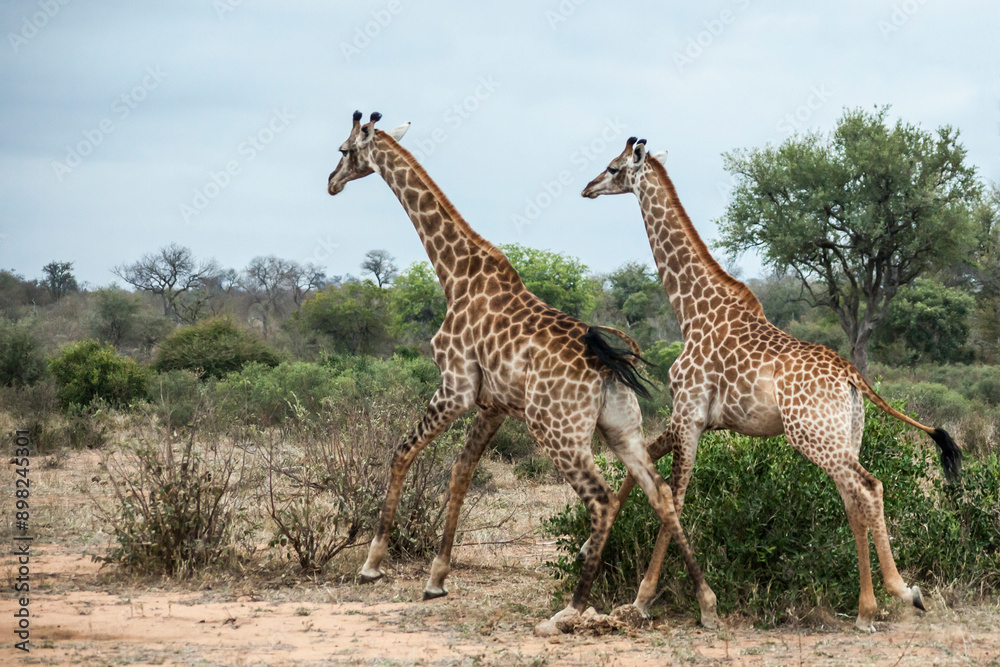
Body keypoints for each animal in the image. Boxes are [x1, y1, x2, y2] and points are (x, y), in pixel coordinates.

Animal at [325, 112, 720, 631]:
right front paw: (436, 579)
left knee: (601, 498)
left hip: (556, 429)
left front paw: (372, 565)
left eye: (343, 150)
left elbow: (401, 452)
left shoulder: (454, 386)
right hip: (621, 427)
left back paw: (571, 608)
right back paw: (701, 601)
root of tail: (608, 364)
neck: (455, 273)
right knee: (661, 493)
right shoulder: (492, 405)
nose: (331, 183)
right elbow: (461, 471)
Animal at [580, 137, 962, 633]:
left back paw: (899, 593)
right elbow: (641, 469)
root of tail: (851, 374)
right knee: (854, 499)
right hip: (846, 434)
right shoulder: (695, 419)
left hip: (812, 435)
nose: (587, 187)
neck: (691, 311)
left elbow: (673, 498)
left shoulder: (688, 414)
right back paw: (866, 608)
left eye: (613, 167)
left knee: (869, 488)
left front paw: (657, 600)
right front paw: (590, 549)